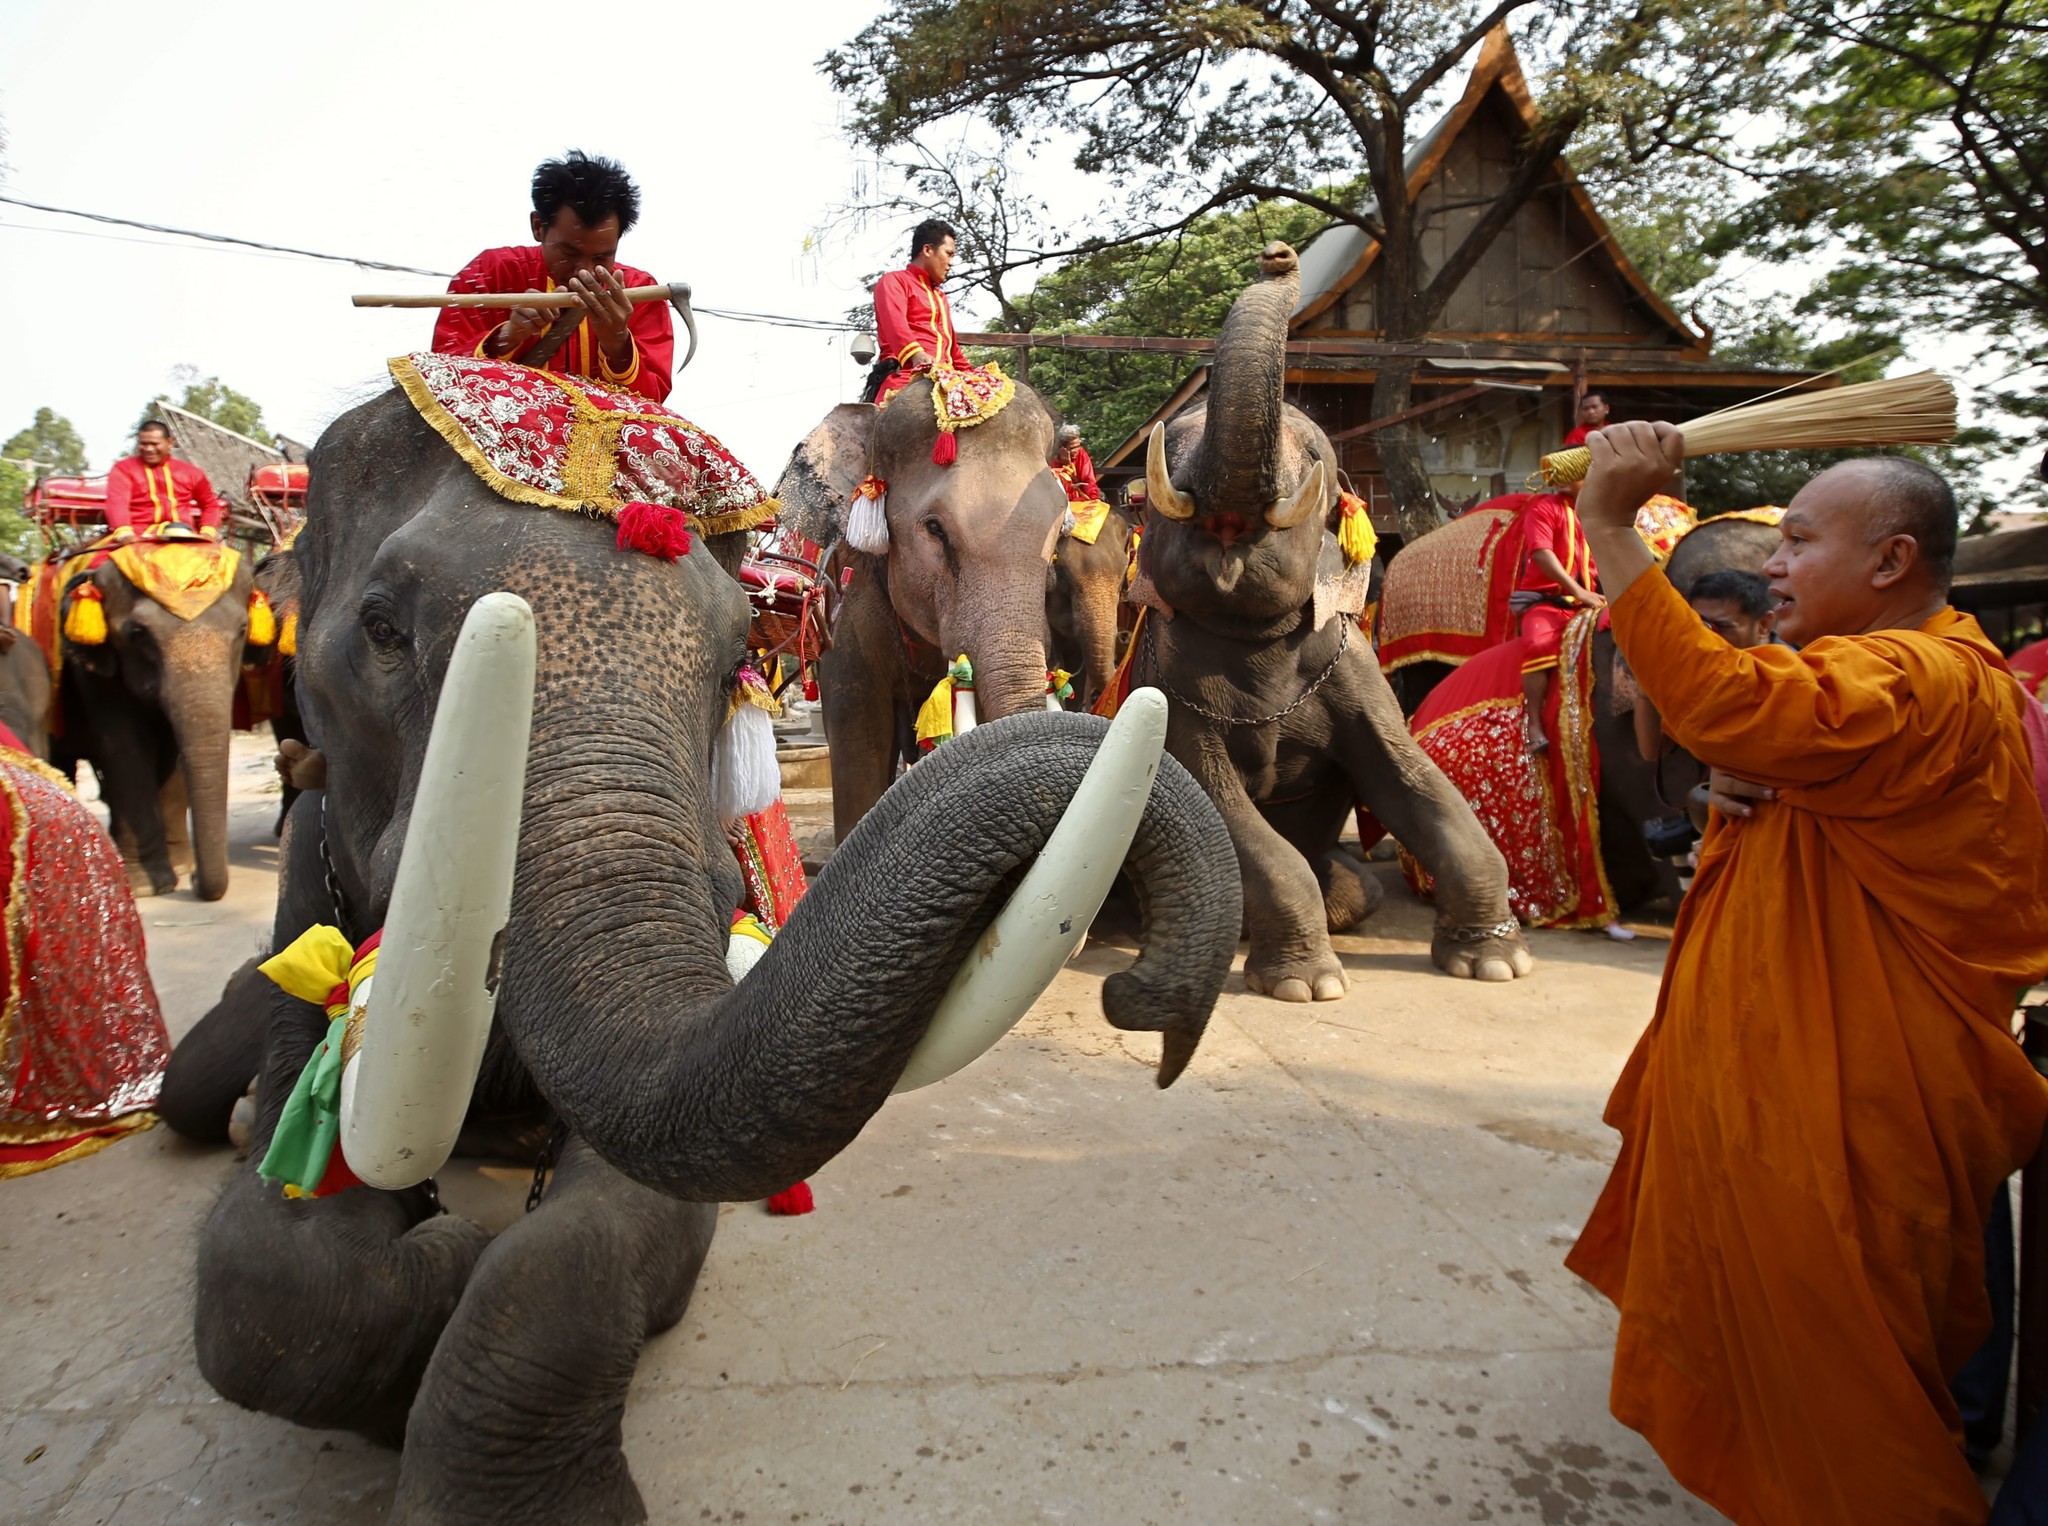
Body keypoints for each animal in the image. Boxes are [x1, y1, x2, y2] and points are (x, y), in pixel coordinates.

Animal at [55, 540, 249, 893]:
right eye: (137, 633)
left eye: (242, 629)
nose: (195, 880)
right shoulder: (96, 670)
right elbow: (125, 747)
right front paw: (147, 885)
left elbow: (174, 752)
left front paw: (179, 868)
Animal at [1146, 242, 1531, 995]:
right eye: (1169, 449)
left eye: (1317, 458)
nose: (1277, 254)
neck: (1257, 641)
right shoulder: (1172, 682)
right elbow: (1219, 802)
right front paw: (1306, 984)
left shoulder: (1357, 672)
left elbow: (1410, 777)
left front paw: (1496, 963)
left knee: (1358, 891)